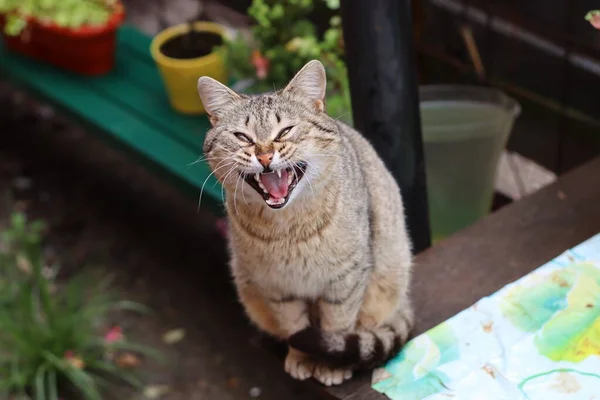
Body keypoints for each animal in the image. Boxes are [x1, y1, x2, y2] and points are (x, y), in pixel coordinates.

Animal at [197, 61, 412, 386]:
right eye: (243, 137)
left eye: (285, 130)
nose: (264, 155)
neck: (288, 229)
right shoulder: (276, 286)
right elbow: (294, 326)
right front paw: (300, 357)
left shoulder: (346, 278)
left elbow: (337, 324)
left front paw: (330, 364)